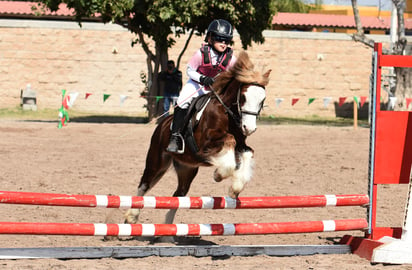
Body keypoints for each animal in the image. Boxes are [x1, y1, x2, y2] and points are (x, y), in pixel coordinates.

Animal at [124, 50, 270, 226]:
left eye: (262, 100)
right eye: (243, 97)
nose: (249, 128)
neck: (226, 113)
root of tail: (162, 123)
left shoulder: (241, 145)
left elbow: (248, 152)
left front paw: (235, 187)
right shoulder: (205, 145)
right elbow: (229, 140)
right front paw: (219, 174)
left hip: (187, 168)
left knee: (178, 194)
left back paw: (168, 228)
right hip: (157, 161)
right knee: (144, 185)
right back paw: (131, 216)